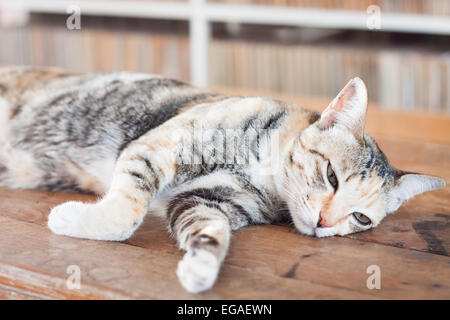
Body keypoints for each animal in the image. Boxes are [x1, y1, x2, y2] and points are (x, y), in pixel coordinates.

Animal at [0, 67, 444, 292]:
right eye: (332, 175)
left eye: (361, 219)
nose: (323, 224)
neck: (265, 176)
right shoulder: (160, 146)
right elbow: (124, 216)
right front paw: (65, 218)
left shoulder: (207, 201)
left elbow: (211, 233)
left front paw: (200, 269)